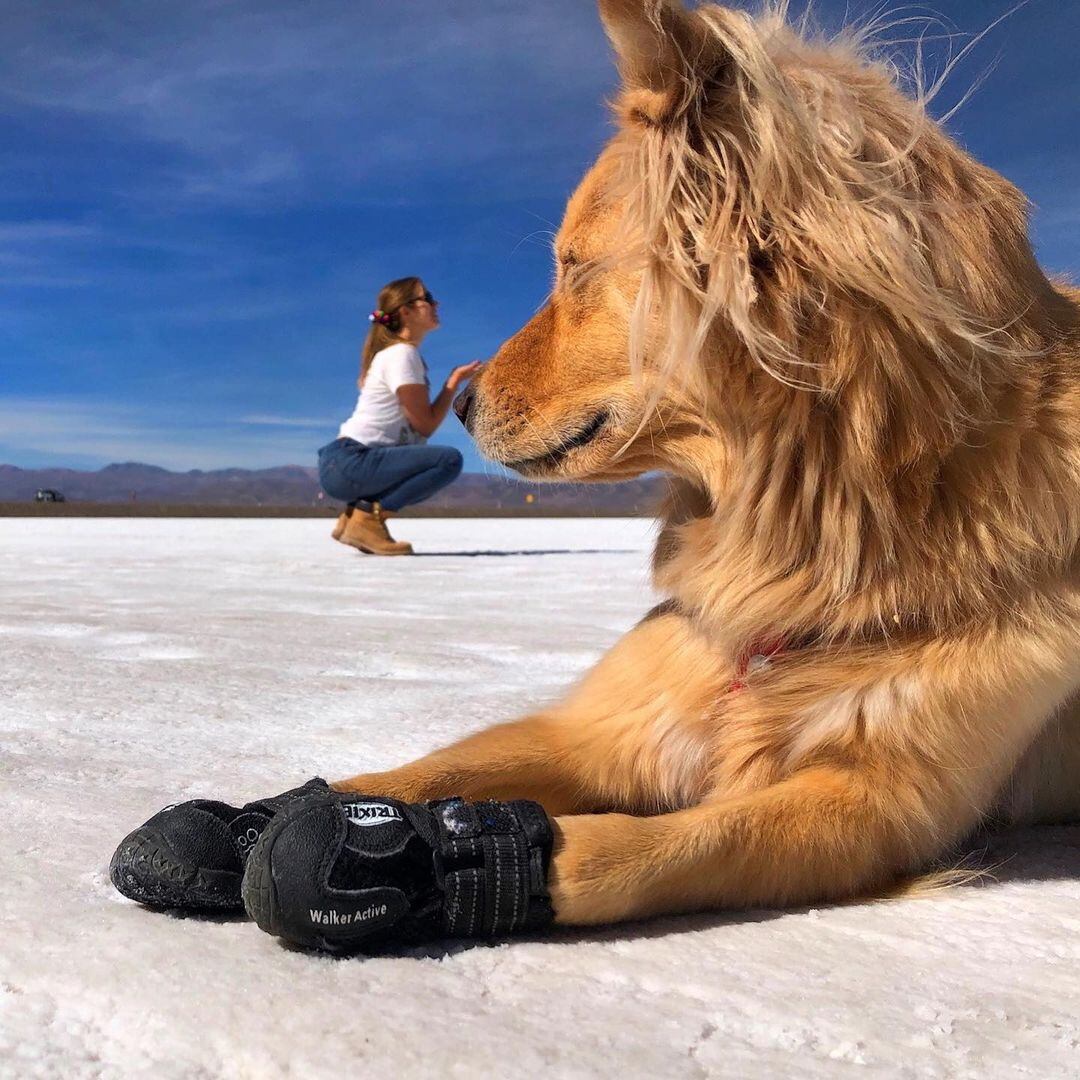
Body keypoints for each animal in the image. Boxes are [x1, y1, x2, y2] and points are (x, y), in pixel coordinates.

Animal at [341, 2, 1080, 928]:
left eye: (574, 266)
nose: (463, 401)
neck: (805, 538)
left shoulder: (880, 800)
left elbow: (662, 846)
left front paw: (520, 865)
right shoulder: (612, 715)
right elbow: (427, 770)